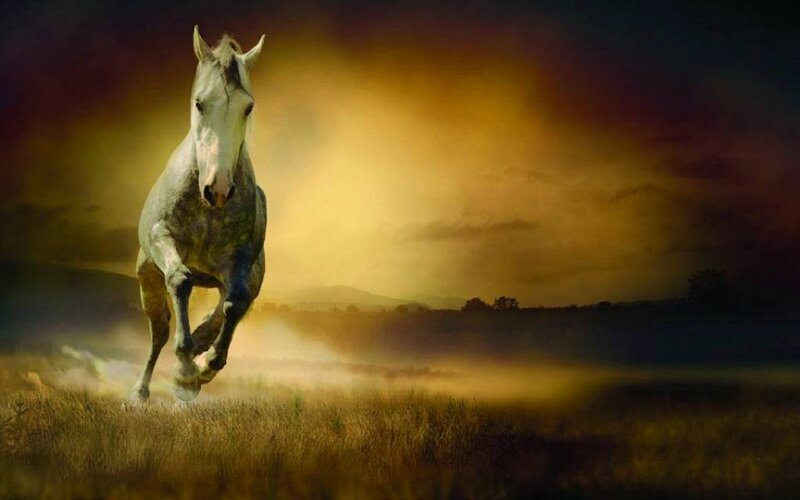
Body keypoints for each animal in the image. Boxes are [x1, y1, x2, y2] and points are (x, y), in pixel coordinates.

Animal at [130, 26, 267, 402]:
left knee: (226, 311)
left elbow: (235, 303)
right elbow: (180, 280)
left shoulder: (239, 260)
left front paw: (204, 366)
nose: (217, 189)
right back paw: (140, 393)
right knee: (159, 332)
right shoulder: (163, 238)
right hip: (148, 280)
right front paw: (185, 368)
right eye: (199, 103)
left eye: (248, 107)